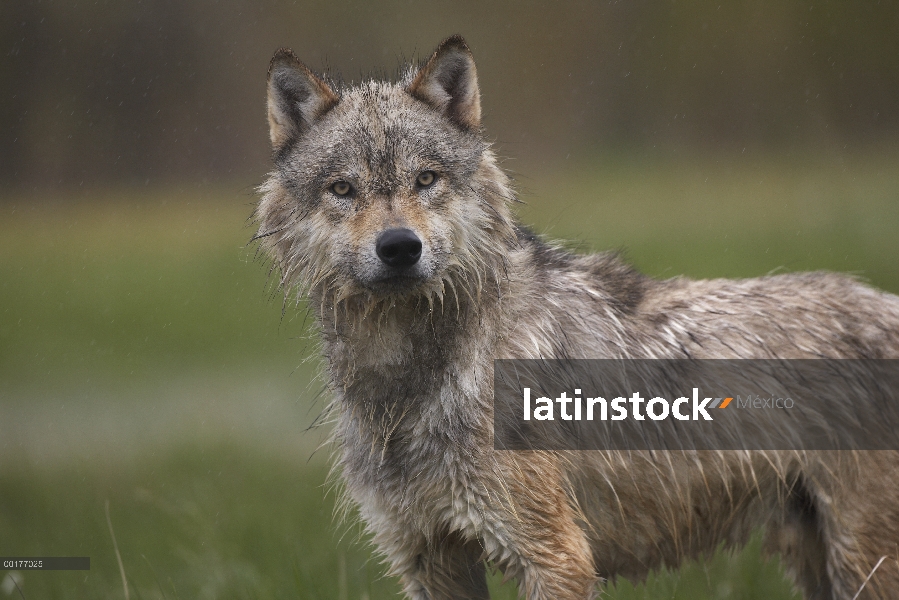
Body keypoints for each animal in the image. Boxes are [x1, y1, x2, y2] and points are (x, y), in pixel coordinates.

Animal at [251, 35, 899, 596]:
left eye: (426, 179)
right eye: (343, 189)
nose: (399, 247)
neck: (414, 381)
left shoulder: (556, 557)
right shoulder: (429, 560)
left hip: (860, 563)